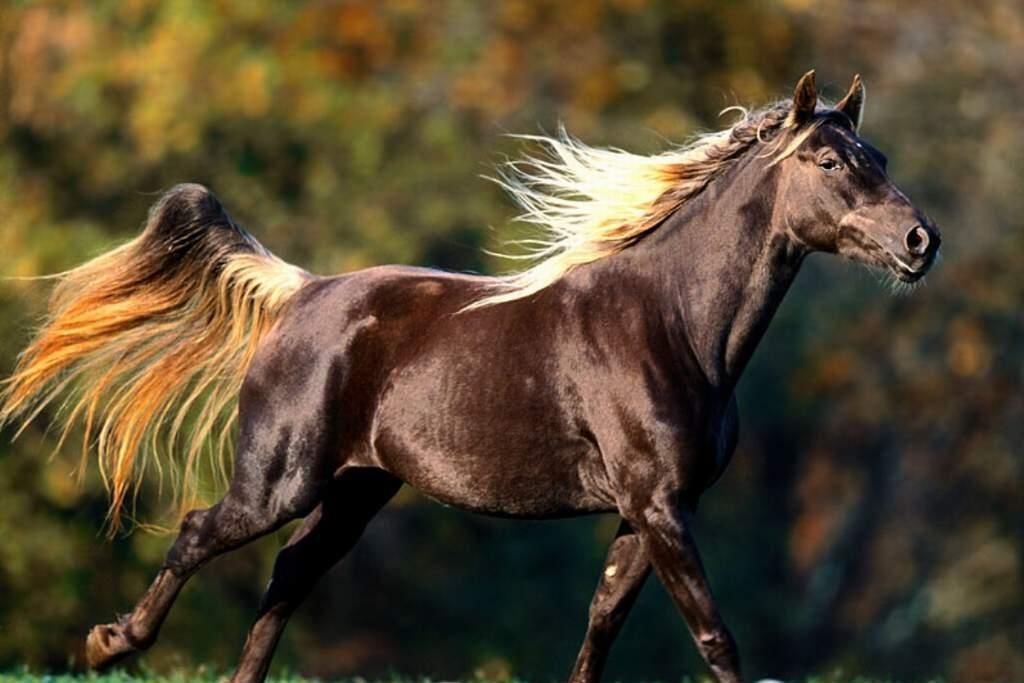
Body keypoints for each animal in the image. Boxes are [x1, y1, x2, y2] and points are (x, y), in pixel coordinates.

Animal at [0, 71, 940, 683]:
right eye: (829, 161)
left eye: (881, 153)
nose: (920, 241)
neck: (672, 324)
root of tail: (303, 292)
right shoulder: (658, 506)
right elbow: (714, 638)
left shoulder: (651, 512)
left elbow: (601, 626)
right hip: (280, 481)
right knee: (201, 533)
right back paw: (110, 643)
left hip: (356, 489)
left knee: (288, 579)